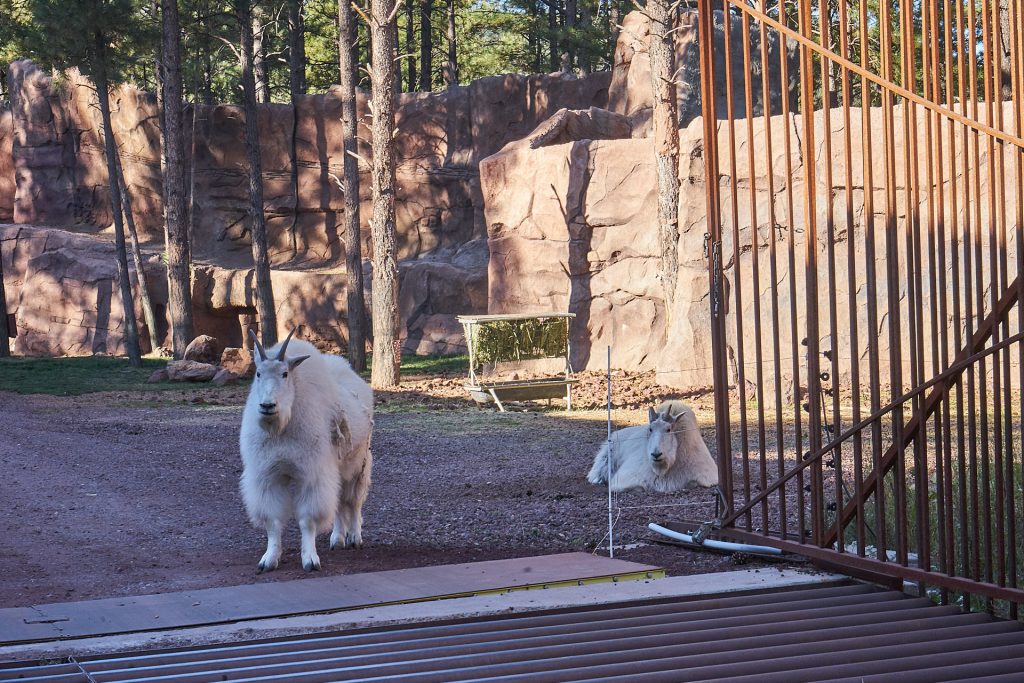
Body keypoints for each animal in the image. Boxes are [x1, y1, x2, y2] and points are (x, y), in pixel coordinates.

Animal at [237, 327, 374, 573]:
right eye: (258, 373)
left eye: (285, 374)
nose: (267, 406)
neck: (281, 429)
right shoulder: (268, 476)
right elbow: (273, 521)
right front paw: (268, 560)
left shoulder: (312, 474)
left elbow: (307, 520)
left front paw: (310, 560)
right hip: (338, 467)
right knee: (339, 501)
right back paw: (337, 539)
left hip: (359, 464)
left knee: (354, 501)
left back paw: (354, 537)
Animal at [585, 397, 720, 493]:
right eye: (650, 429)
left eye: (668, 429)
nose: (656, 454)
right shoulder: (625, 478)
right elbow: (638, 487)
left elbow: (693, 482)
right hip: (606, 457)